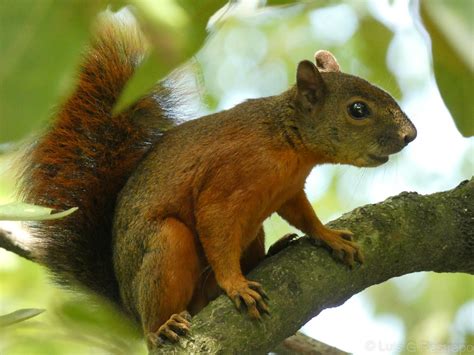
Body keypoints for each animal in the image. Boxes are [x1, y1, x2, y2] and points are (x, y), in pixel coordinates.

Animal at [18, 14, 414, 348]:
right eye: (358, 110)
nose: (410, 135)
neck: (288, 144)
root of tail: (128, 308)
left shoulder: (289, 190)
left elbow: (303, 214)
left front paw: (329, 237)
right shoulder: (226, 181)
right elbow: (216, 226)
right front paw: (236, 285)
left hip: (251, 234)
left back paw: (273, 252)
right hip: (165, 245)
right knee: (162, 308)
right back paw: (162, 327)